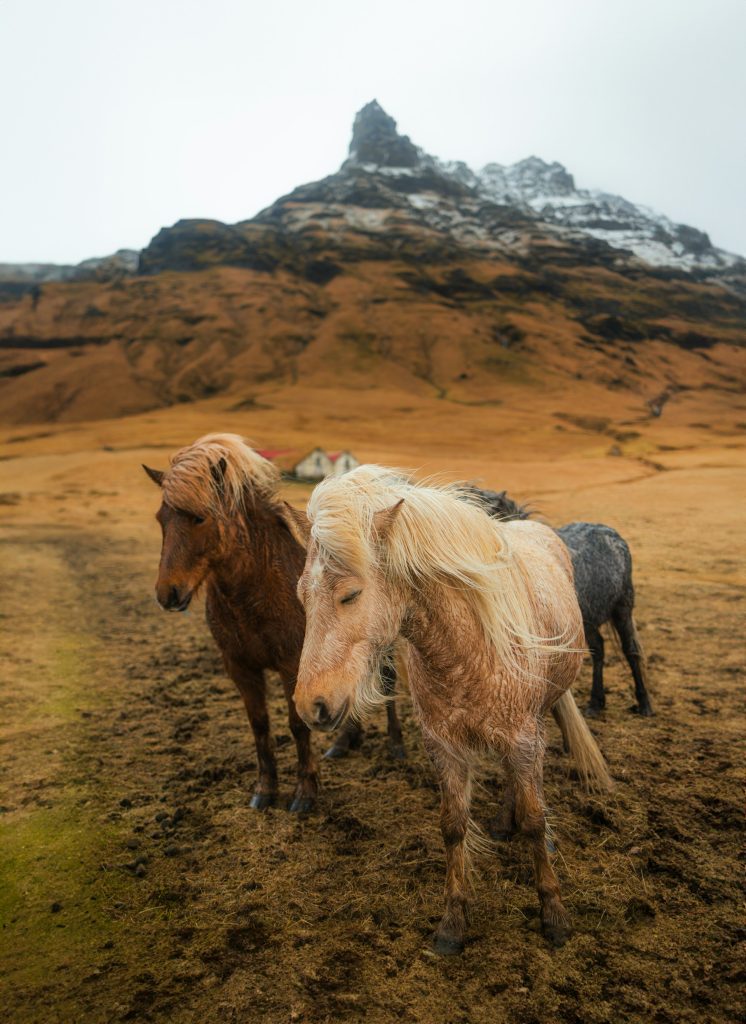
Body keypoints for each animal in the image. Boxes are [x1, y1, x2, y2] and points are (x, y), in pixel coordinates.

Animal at [286, 468, 609, 954]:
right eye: (302, 596)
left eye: (351, 595)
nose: (311, 705)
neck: (467, 647)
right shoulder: (444, 746)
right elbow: (453, 827)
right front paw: (452, 923)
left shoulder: (519, 736)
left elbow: (535, 821)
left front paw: (554, 915)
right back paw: (502, 823)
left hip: (537, 717)